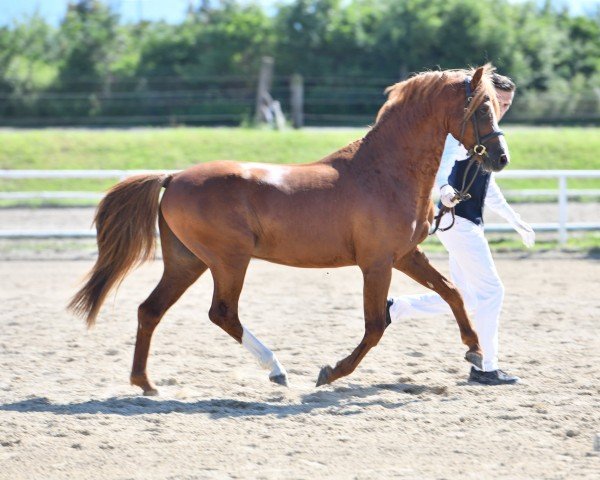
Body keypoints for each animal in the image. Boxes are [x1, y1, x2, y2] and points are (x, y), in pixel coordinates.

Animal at [70, 64, 510, 394]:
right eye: (482, 108)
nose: (501, 158)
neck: (384, 172)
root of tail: (173, 177)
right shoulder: (376, 263)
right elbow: (375, 327)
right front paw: (329, 372)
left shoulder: (404, 255)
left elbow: (452, 293)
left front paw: (474, 351)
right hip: (229, 261)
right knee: (222, 313)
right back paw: (276, 370)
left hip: (186, 262)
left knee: (151, 310)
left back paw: (146, 384)